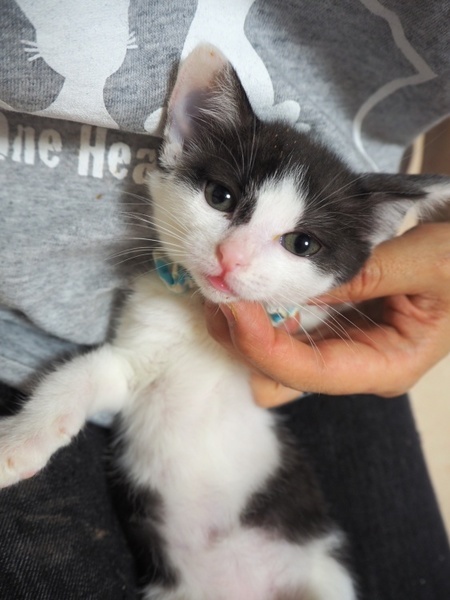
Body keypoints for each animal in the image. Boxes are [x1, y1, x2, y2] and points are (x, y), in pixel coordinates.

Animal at [1, 44, 450, 600]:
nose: (230, 257)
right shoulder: (133, 363)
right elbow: (79, 377)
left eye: (302, 243)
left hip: (320, 574)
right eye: (222, 197)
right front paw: (18, 443)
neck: (203, 325)